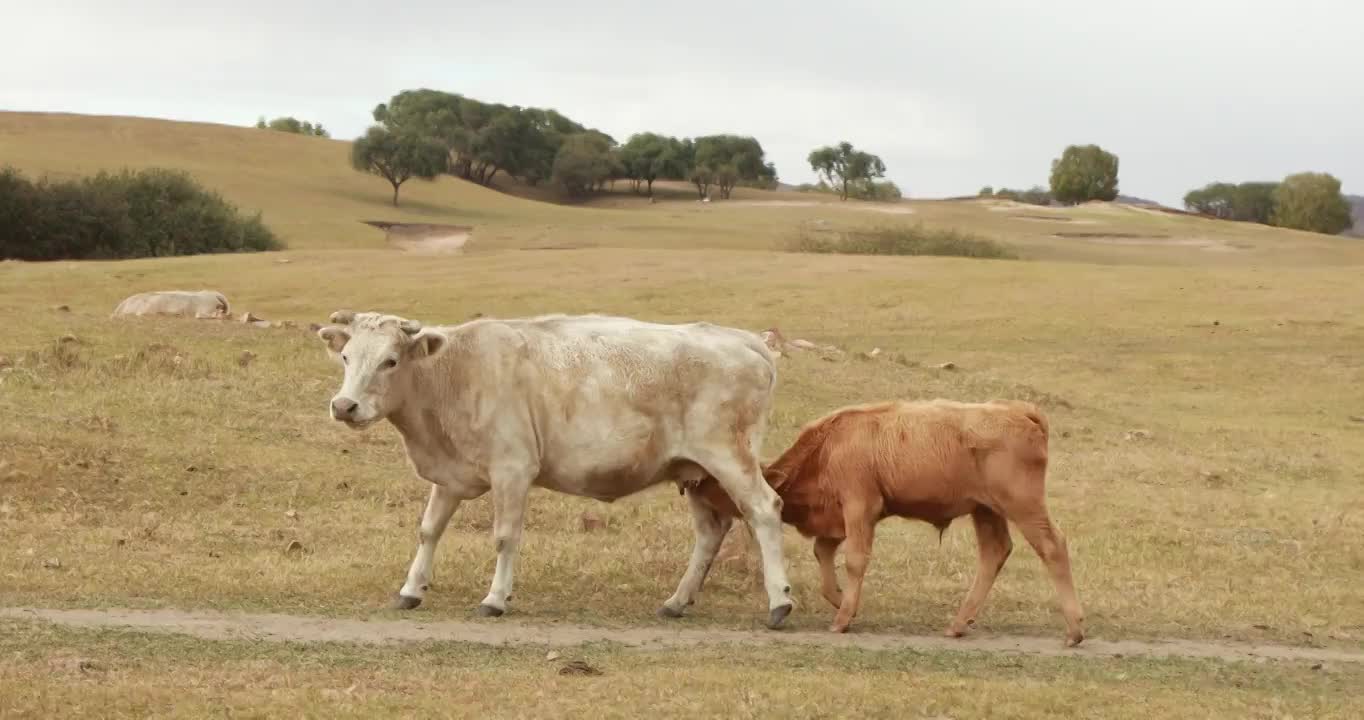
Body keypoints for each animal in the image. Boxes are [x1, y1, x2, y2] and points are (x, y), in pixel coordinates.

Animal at [312, 310, 796, 630]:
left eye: (390, 361)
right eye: (346, 357)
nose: (344, 406)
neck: (452, 373)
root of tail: (745, 340)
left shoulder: (512, 470)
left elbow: (505, 537)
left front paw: (495, 598)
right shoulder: (450, 476)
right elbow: (429, 530)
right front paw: (411, 590)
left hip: (729, 457)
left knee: (764, 510)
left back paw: (779, 602)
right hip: (695, 472)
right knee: (711, 532)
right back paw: (677, 601)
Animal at [692, 398, 1085, 646]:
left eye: (718, 484)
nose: (690, 485)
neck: (829, 444)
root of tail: (1020, 411)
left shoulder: (859, 506)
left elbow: (854, 560)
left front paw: (841, 619)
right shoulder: (840, 519)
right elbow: (824, 554)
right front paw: (842, 602)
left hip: (1022, 506)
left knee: (1052, 547)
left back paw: (1074, 631)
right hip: (985, 511)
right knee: (994, 553)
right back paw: (958, 625)